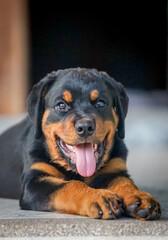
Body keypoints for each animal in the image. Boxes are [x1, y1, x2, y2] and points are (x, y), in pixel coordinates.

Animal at [0, 68, 161, 220]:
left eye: (100, 103)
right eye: (61, 105)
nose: (85, 127)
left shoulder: (115, 170)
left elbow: (125, 182)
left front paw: (139, 197)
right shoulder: (34, 181)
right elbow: (70, 185)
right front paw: (97, 197)